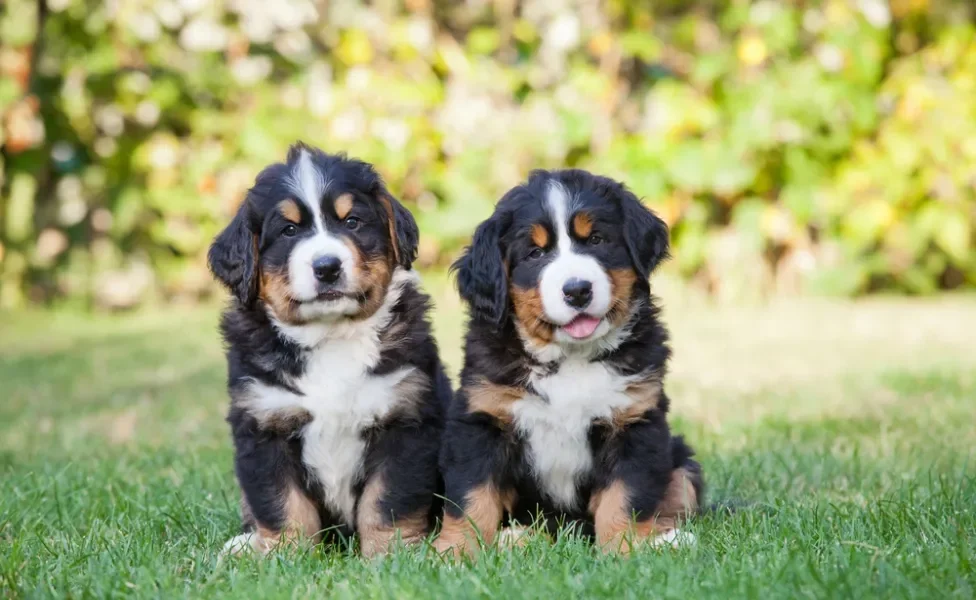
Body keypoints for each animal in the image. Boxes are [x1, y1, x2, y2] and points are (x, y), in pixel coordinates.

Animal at [211, 143, 454, 556]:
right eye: (289, 230)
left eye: (352, 222)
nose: (327, 266)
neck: (332, 335)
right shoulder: (264, 424)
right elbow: (282, 504)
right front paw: (284, 556)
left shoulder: (405, 419)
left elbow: (386, 500)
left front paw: (390, 555)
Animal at [434, 166, 700, 556]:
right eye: (534, 253)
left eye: (597, 240)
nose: (577, 290)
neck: (570, 358)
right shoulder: (483, 420)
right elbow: (471, 497)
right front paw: (455, 552)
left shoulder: (634, 422)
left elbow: (624, 497)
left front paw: (623, 550)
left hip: (683, 463)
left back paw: (667, 538)